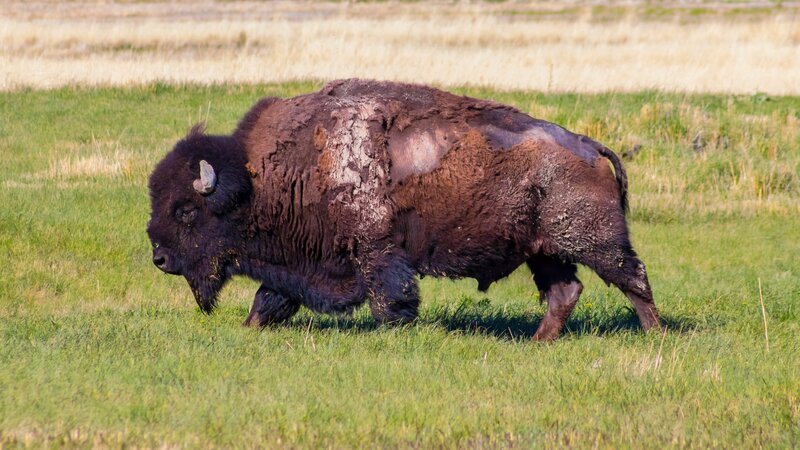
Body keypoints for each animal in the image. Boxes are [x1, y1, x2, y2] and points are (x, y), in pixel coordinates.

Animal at [147, 79, 660, 340]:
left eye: (186, 210)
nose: (159, 258)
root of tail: (589, 145)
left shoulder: (376, 251)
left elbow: (390, 298)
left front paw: (397, 331)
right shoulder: (296, 263)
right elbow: (269, 297)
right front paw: (250, 325)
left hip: (594, 242)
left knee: (633, 279)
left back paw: (654, 334)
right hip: (544, 251)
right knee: (565, 291)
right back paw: (538, 342)